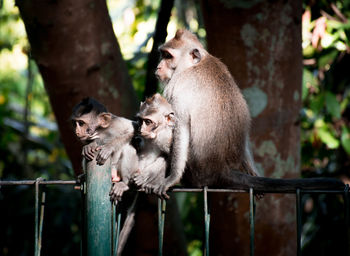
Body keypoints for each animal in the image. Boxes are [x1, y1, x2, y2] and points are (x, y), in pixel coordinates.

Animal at [151, 29, 344, 196]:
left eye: (168, 56)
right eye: (162, 55)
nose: (158, 67)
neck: (196, 64)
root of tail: (221, 170)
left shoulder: (176, 88)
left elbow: (180, 128)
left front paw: (172, 178)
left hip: (196, 172)